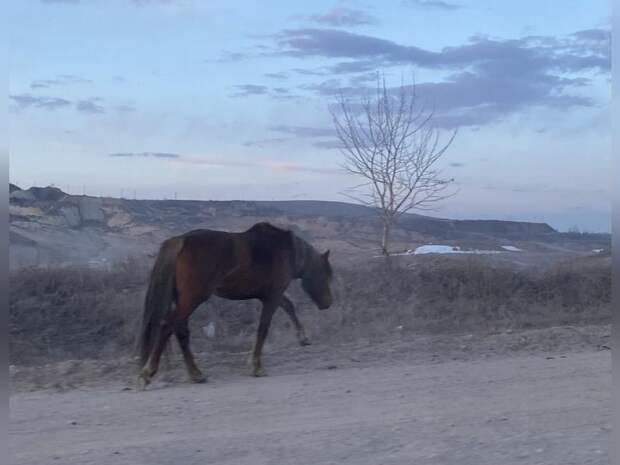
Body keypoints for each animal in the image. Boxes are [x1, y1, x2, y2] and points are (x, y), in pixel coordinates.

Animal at [137, 220, 332, 384]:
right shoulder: (273, 296)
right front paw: (256, 366)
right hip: (193, 298)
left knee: (180, 330)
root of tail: (180, 241)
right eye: (326, 275)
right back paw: (148, 372)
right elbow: (263, 328)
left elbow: (289, 306)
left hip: (184, 299)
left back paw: (195, 374)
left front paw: (303, 338)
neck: (288, 252)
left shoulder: (270, 295)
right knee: (168, 326)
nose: (328, 303)